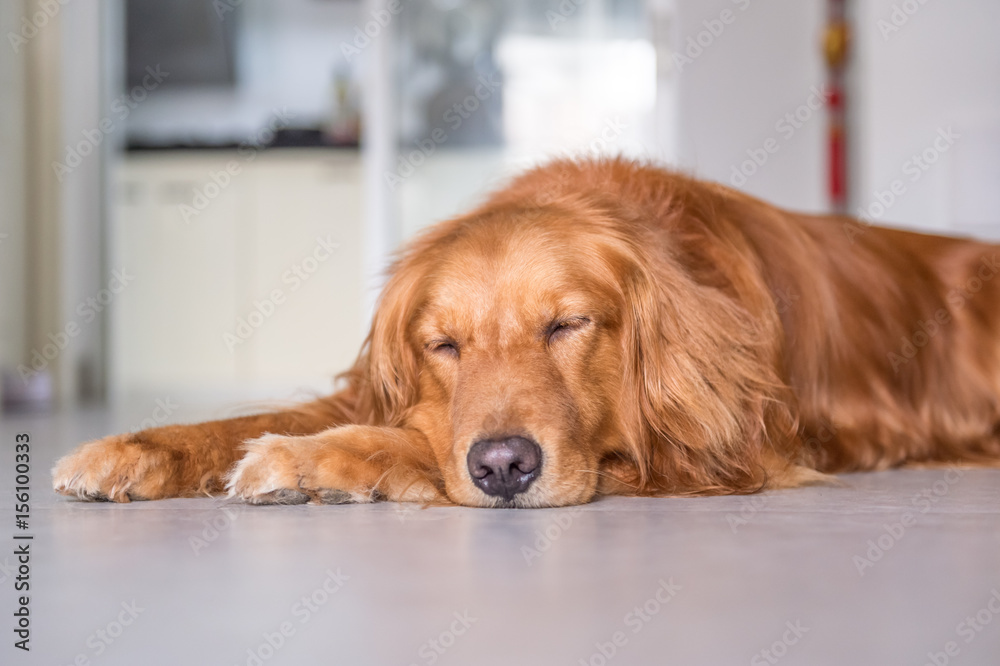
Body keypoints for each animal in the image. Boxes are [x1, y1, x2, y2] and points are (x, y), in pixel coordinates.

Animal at [50, 158, 1000, 506]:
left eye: (568, 325)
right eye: (445, 346)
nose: (505, 468)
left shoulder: (724, 453)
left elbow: (412, 441)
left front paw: (304, 462)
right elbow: (247, 418)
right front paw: (130, 449)